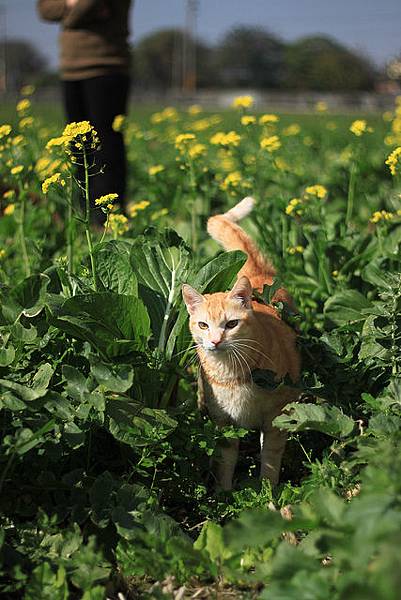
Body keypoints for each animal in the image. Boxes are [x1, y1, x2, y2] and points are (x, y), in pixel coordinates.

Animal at [183, 199, 298, 490]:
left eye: (231, 324)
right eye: (204, 326)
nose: (215, 341)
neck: (231, 373)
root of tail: (255, 274)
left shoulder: (276, 420)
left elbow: (269, 462)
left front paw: (267, 494)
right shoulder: (223, 423)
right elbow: (224, 463)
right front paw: (223, 494)